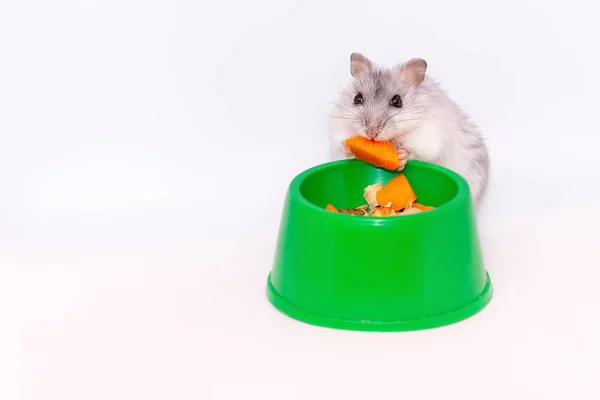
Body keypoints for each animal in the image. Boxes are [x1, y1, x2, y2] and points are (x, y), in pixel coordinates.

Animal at [330, 52, 490, 209]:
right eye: (357, 98)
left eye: (397, 101)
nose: (371, 133)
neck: (397, 137)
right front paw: (347, 147)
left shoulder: (429, 141)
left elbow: (416, 152)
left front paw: (401, 156)